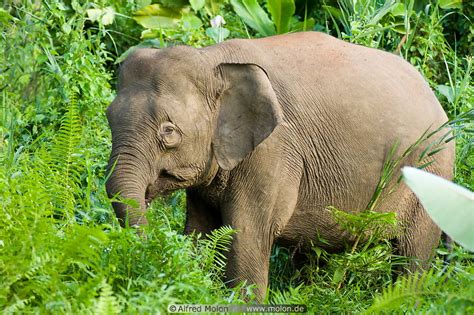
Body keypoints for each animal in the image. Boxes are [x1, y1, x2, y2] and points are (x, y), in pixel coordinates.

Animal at [106, 31, 456, 302]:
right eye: (108, 118)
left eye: (169, 132)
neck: (213, 60)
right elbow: (201, 231)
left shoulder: (273, 151)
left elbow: (246, 237)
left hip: (432, 172)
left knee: (413, 256)